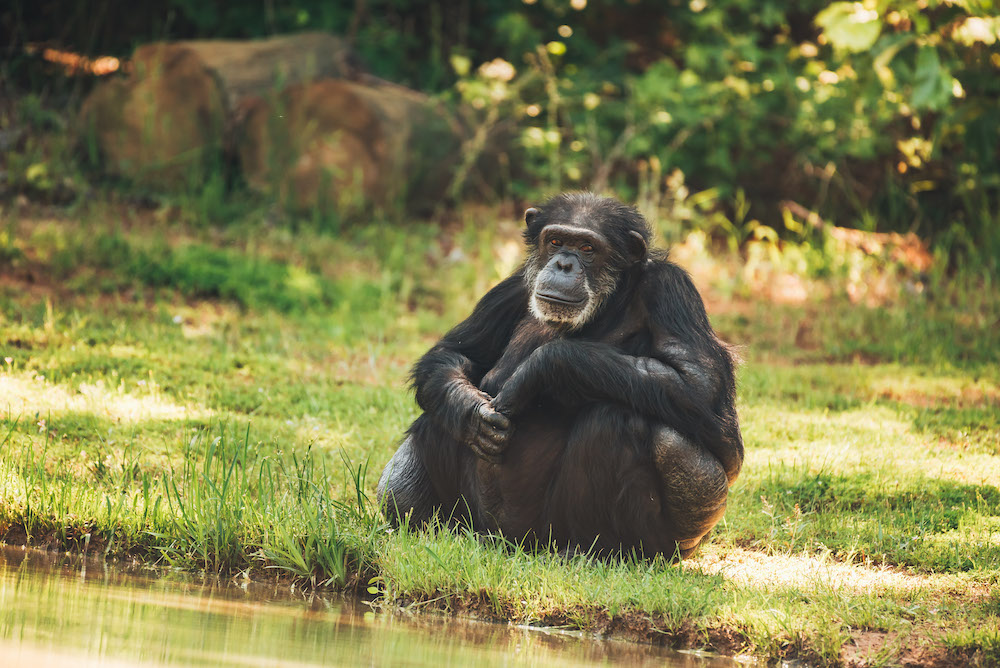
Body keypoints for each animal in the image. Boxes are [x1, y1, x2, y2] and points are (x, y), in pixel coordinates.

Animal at [376, 192, 744, 560]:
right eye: (555, 241)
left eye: (587, 248)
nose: (563, 264)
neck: (609, 303)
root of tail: (506, 541)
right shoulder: (512, 287)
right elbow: (454, 353)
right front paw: (470, 411)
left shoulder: (671, 288)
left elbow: (699, 388)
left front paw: (542, 369)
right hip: (477, 519)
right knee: (437, 416)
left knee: (621, 420)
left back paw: (592, 551)